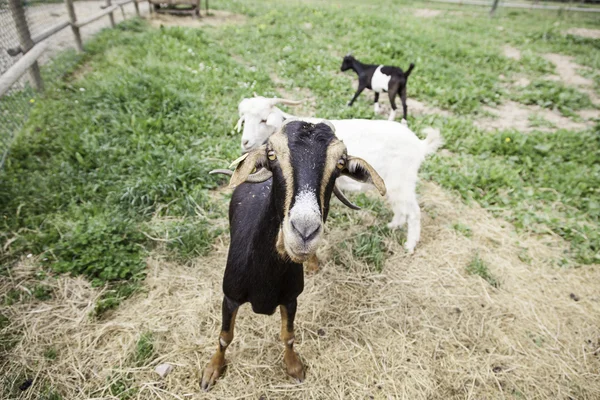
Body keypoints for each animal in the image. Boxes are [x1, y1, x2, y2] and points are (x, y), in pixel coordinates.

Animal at [202, 119, 384, 390]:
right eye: (272, 155)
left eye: (340, 164)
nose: (304, 231)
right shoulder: (230, 296)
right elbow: (225, 336)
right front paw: (213, 369)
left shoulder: (291, 298)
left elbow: (288, 335)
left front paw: (294, 366)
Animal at [237, 96, 442, 253]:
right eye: (244, 120)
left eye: (264, 120)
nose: (245, 142)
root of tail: (419, 145)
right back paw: (393, 225)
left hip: (403, 181)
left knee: (414, 212)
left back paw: (410, 245)